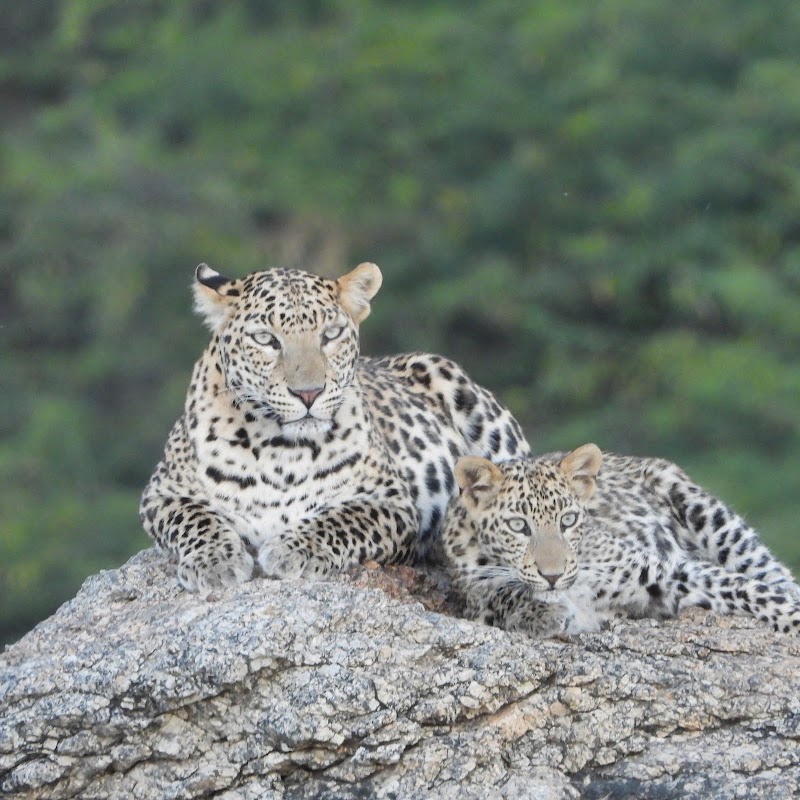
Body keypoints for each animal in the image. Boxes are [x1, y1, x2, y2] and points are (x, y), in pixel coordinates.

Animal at [140, 261, 529, 592]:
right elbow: (194, 517)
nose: (309, 393)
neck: (279, 450)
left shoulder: (392, 503)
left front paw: (293, 550)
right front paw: (214, 562)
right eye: (265, 339)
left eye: (331, 334)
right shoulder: (161, 492)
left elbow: (344, 518)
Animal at [441, 444, 800, 636]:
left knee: (772, 573)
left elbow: (745, 587)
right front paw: (538, 611)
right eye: (518, 526)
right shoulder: (474, 595)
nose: (553, 576)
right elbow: (500, 597)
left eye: (567, 520)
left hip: (711, 517)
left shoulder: (663, 571)